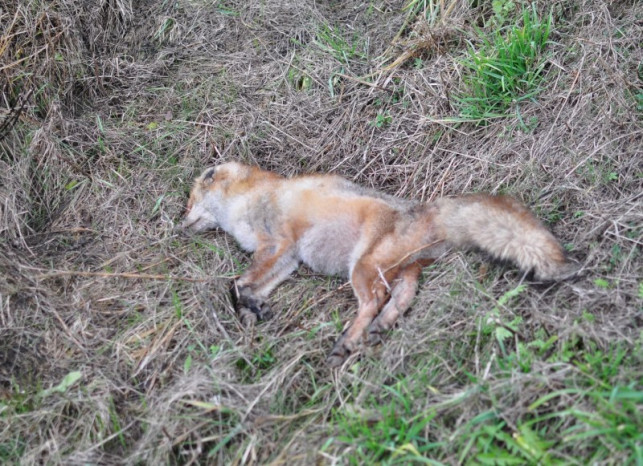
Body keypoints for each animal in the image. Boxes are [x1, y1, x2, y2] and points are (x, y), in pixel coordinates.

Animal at [179, 162, 578, 367]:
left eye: (189, 203)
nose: (179, 226)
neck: (249, 202)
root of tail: (422, 209)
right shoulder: (286, 257)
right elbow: (250, 286)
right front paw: (252, 309)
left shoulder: (277, 243)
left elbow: (237, 283)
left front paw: (247, 306)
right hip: (403, 270)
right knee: (400, 299)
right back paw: (379, 328)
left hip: (362, 268)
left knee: (373, 300)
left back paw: (348, 341)